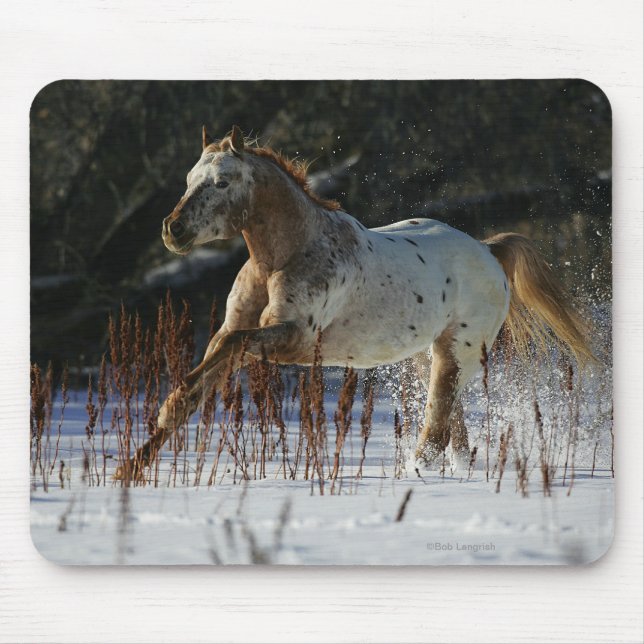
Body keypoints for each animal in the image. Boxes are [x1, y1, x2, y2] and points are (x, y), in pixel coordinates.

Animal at [115, 125, 593, 481]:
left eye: (221, 182)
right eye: (189, 181)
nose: (172, 230)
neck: (284, 256)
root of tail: (489, 251)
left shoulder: (293, 340)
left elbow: (224, 357)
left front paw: (156, 424)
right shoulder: (235, 329)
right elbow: (200, 381)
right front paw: (129, 470)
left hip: (457, 354)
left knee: (436, 429)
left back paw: (410, 475)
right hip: (427, 356)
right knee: (452, 430)